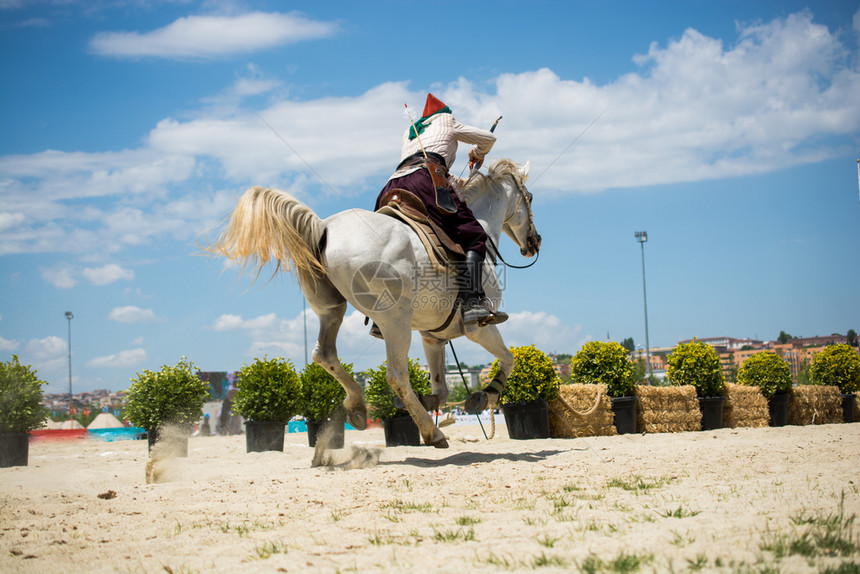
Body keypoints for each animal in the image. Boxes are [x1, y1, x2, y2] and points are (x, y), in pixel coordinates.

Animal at [212, 159, 540, 450]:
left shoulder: (433, 337)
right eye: (531, 197)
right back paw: (431, 432)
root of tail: (324, 228)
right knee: (396, 375)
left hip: (332, 310)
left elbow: (442, 389)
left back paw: (358, 405)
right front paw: (486, 395)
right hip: (396, 320)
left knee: (325, 354)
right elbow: (508, 360)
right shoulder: (479, 329)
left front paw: (433, 400)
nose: (534, 242)